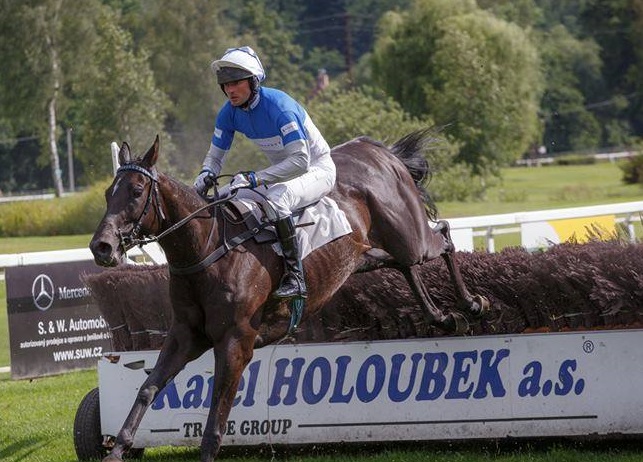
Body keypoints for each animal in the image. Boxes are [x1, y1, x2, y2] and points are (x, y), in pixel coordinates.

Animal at [87, 131, 488, 462]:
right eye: (108, 193)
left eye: (136, 191)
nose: (101, 247)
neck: (209, 248)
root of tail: (376, 149)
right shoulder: (186, 335)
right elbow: (147, 388)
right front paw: (117, 449)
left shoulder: (236, 342)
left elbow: (216, 417)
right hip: (365, 256)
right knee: (405, 265)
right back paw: (443, 317)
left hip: (411, 236)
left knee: (444, 237)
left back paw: (472, 304)